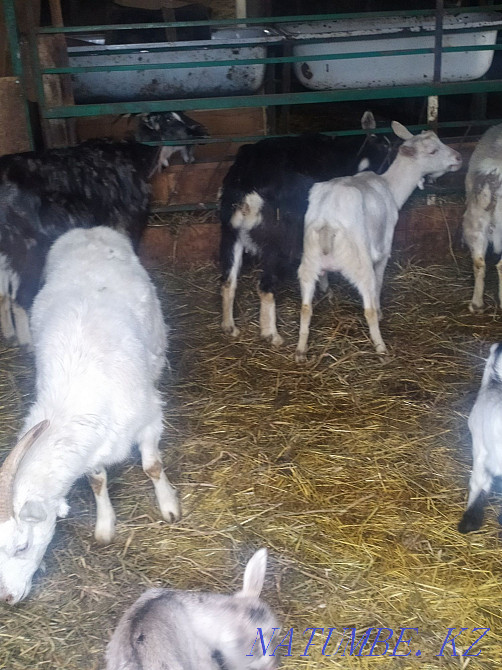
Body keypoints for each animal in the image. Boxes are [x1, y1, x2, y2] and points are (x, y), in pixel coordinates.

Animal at [0, 111, 207, 347]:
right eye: (169, 120)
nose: (200, 131)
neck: (137, 156)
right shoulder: (129, 220)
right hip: (29, 247)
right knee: (20, 297)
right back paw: (27, 342)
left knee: (4, 294)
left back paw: (9, 334)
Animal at [0, 227, 179, 604]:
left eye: (22, 546)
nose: (6, 598)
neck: (69, 402)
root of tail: (89, 230)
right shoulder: (93, 448)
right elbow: (97, 481)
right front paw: (105, 526)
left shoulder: (148, 418)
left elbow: (152, 466)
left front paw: (169, 505)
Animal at [220, 111, 392, 346]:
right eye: (384, 146)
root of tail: (247, 186)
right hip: (280, 242)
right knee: (265, 287)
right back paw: (272, 334)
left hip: (230, 233)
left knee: (228, 281)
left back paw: (230, 327)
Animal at [295, 122, 462, 362]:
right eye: (432, 151)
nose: (459, 158)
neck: (391, 186)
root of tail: (327, 225)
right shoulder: (384, 248)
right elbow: (380, 282)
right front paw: (381, 311)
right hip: (359, 263)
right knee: (368, 308)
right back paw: (381, 348)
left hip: (308, 261)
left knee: (305, 308)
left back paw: (300, 350)